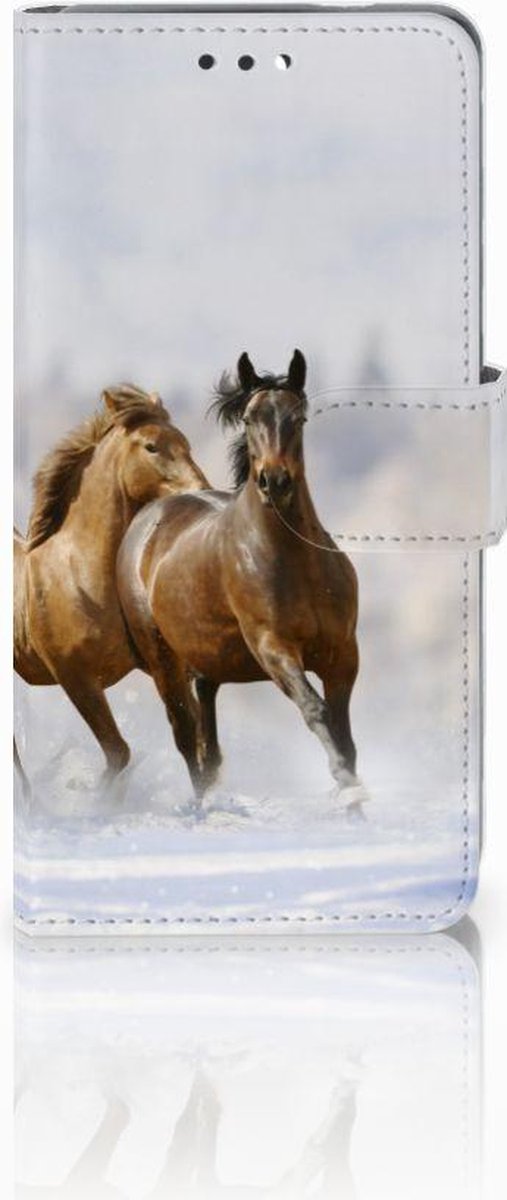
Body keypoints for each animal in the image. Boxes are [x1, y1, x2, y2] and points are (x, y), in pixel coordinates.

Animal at [14, 384, 209, 786]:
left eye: (185, 442)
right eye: (151, 446)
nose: (202, 490)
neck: (81, 577)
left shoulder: (162, 665)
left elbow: (192, 733)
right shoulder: (76, 678)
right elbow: (119, 753)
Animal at [117, 351, 364, 806]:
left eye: (299, 417)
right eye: (249, 418)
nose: (275, 481)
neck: (296, 562)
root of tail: (148, 516)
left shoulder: (343, 654)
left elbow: (344, 733)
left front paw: (354, 798)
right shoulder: (274, 649)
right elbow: (316, 710)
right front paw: (347, 786)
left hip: (206, 661)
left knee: (208, 740)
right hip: (163, 661)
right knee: (186, 737)